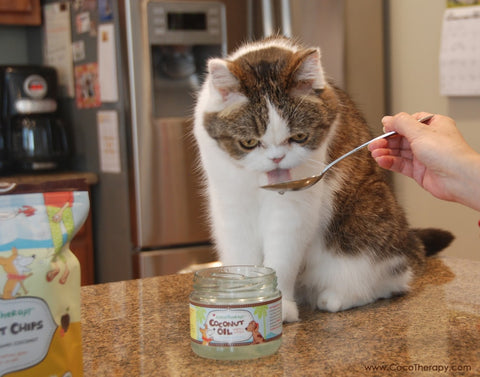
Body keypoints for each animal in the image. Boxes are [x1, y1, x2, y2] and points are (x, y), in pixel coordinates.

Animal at [192, 36, 454, 322]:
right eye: (249, 142)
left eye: (299, 137)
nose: (277, 158)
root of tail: (409, 243)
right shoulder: (231, 204)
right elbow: (241, 254)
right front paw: (243, 294)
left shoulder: (294, 207)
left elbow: (281, 256)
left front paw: (280, 307)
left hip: (366, 216)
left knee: (390, 280)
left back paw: (337, 297)